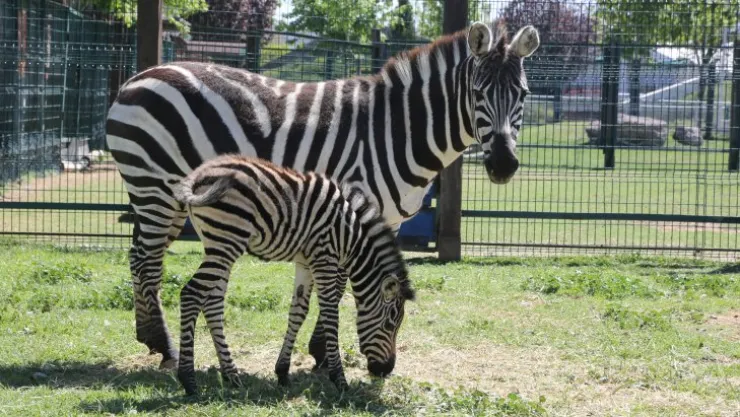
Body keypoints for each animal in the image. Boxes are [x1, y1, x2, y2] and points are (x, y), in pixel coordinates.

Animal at [171, 154, 415, 394]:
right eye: (390, 326)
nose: (385, 370)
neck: (351, 237)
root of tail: (198, 174)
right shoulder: (324, 258)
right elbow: (330, 313)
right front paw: (339, 379)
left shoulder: (305, 263)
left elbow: (299, 311)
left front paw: (282, 372)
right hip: (227, 239)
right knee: (191, 294)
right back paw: (188, 380)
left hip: (217, 245)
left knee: (212, 302)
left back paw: (231, 375)